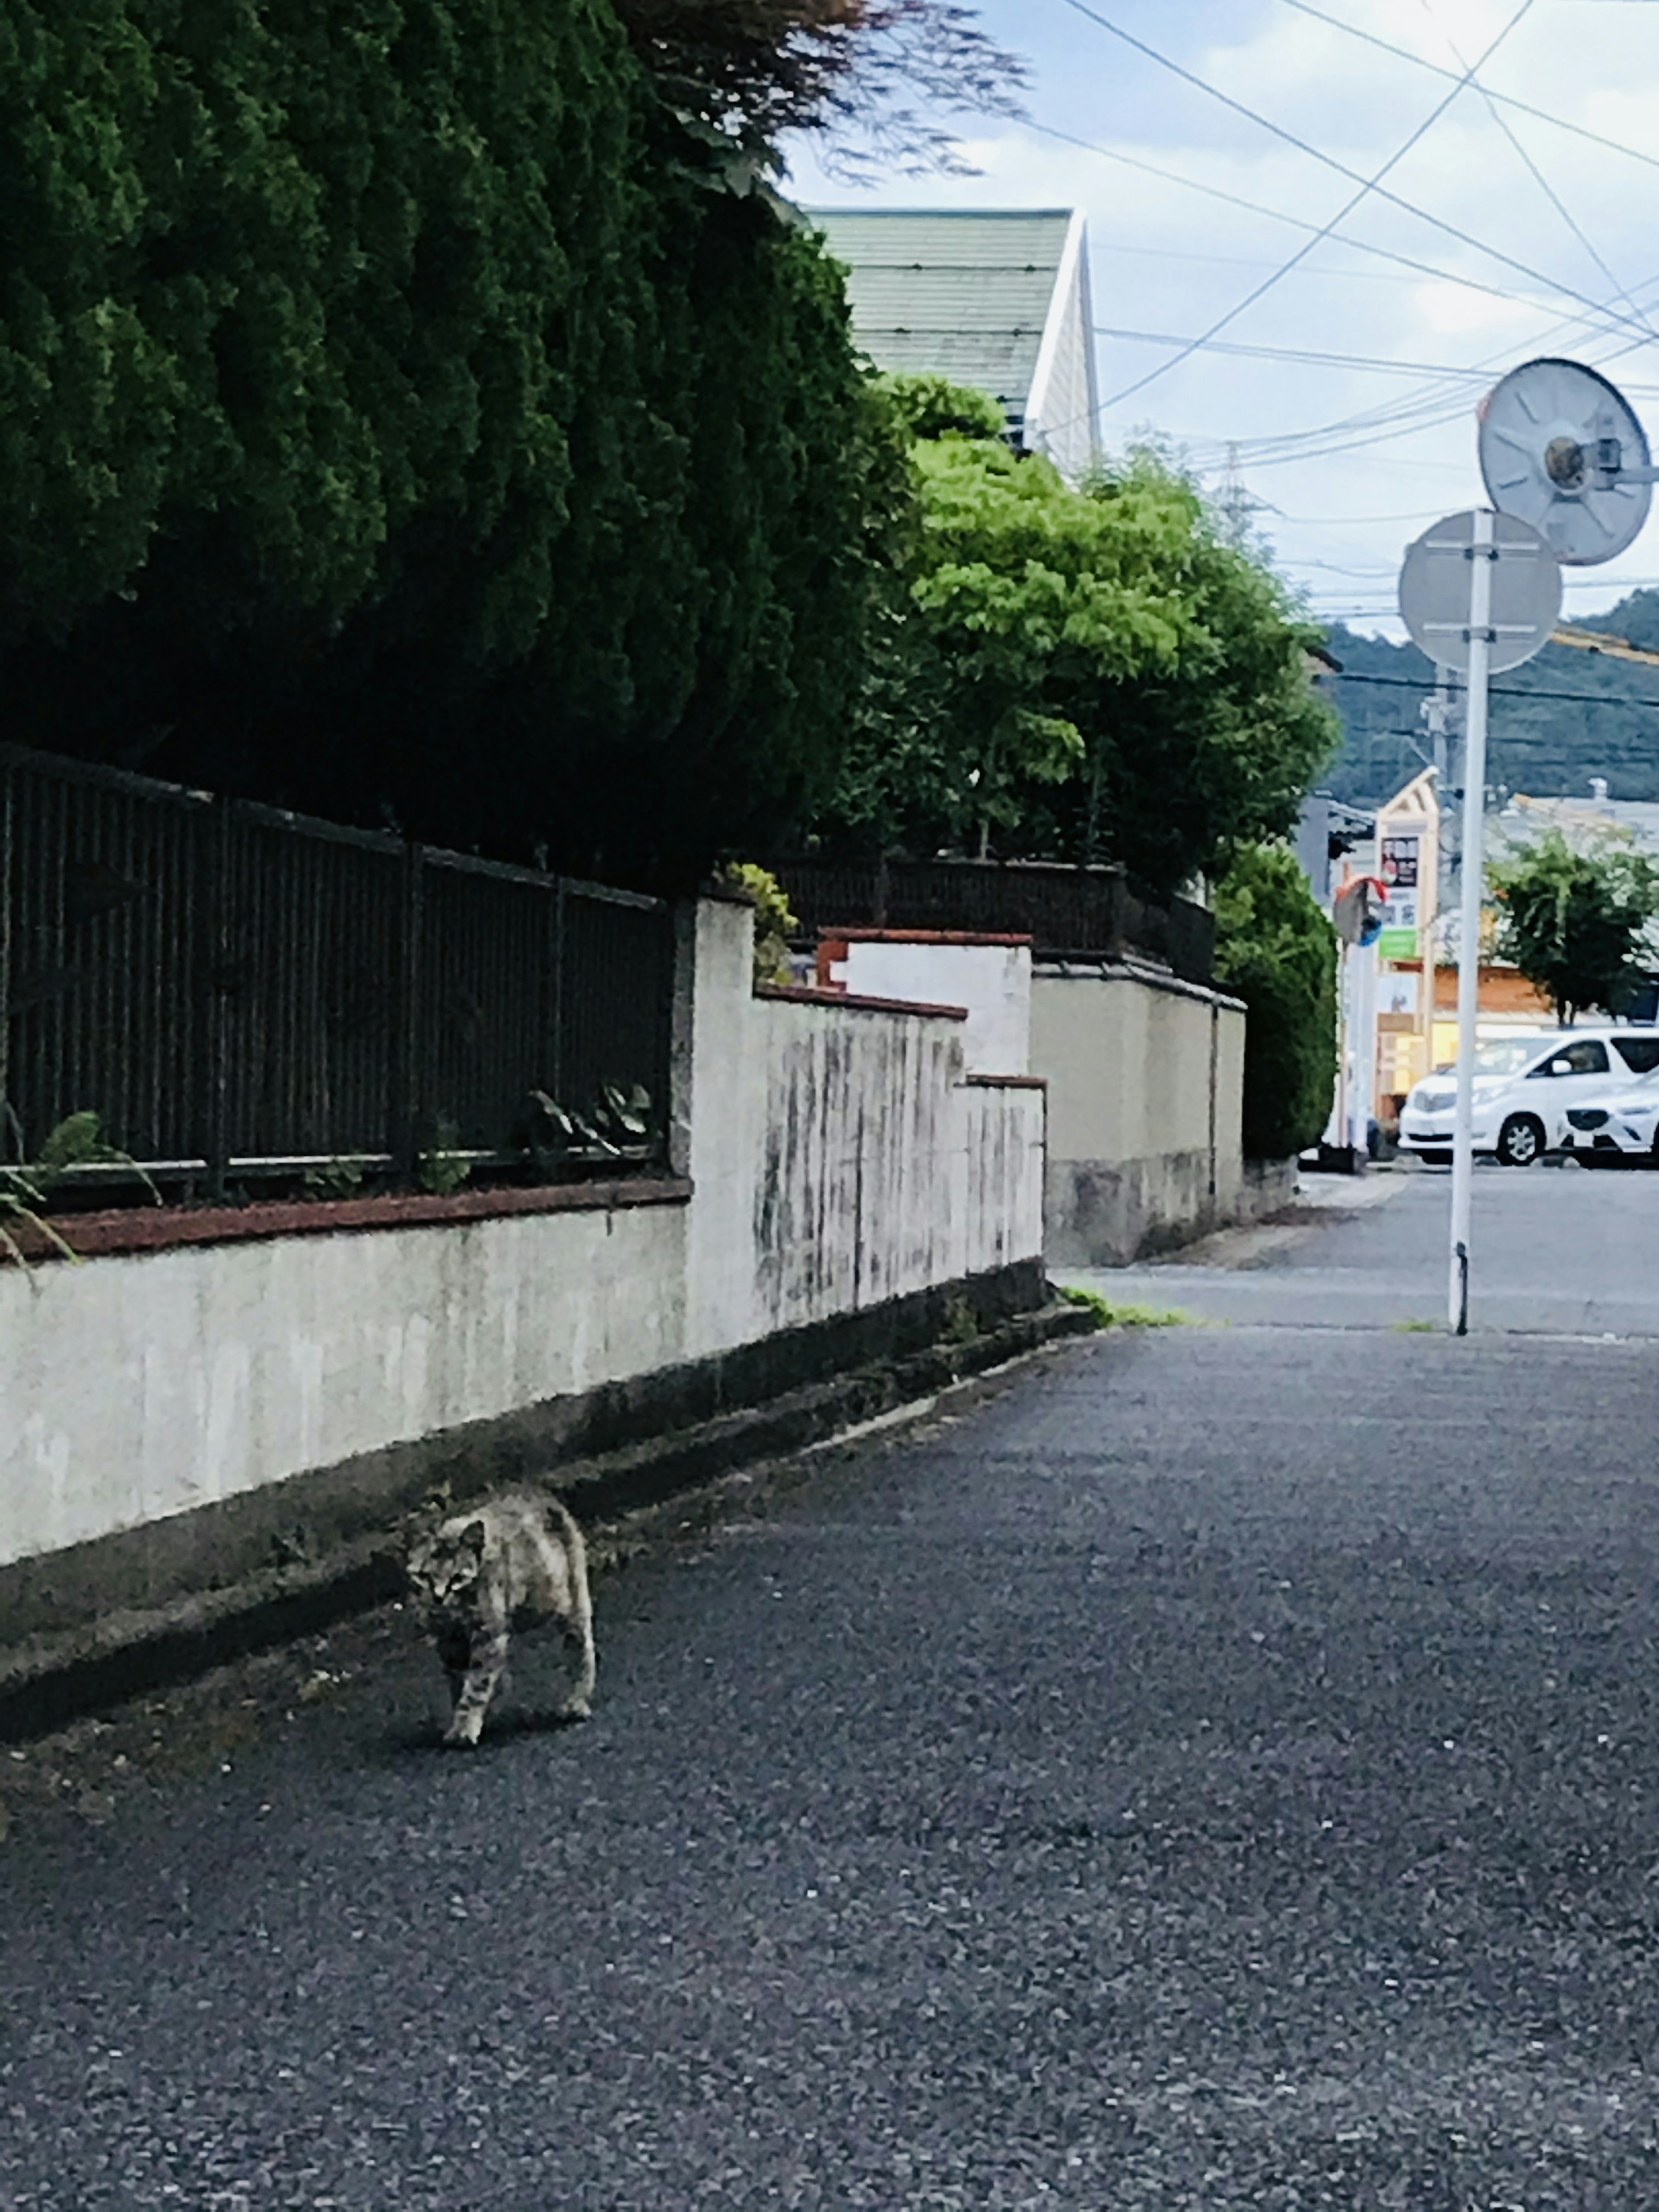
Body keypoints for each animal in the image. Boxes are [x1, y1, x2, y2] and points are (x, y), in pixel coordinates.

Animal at [404, 1486, 597, 1743]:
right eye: (425, 1577)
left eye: (458, 1578)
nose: (438, 1597)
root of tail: (542, 1494)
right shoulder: (449, 1643)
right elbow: (458, 1682)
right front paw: (462, 1718)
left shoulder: (488, 1634)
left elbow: (476, 1684)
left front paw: (465, 1726)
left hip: (570, 1602)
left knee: (581, 1649)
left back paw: (577, 1702)